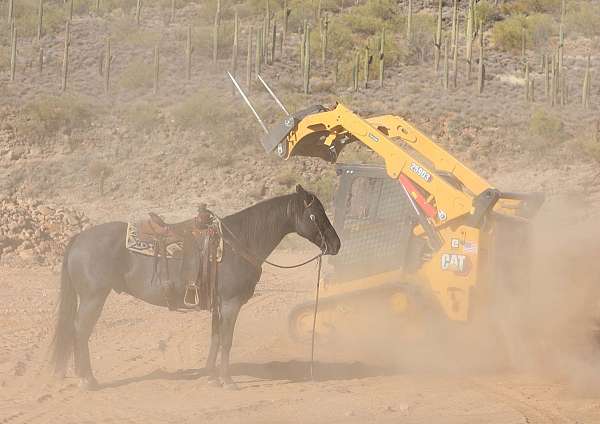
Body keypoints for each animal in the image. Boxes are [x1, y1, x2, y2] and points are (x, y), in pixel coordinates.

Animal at [50, 186, 342, 390]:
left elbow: (215, 338)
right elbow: (226, 340)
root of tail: (79, 238)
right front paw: (227, 381)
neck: (239, 242)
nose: (336, 244)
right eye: (315, 215)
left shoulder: (218, 304)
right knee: (80, 332)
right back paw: (87, 380)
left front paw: (211, 376)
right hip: (93, 298)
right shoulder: (231, 303)